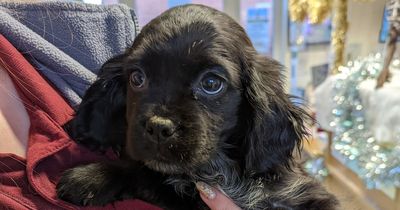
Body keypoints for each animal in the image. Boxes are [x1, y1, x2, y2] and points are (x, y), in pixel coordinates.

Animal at [55, 4, 338, 209]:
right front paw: (91, 178)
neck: (216, 172)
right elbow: (143, 172)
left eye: (211, 83)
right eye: (136, 78)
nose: (158, 128)